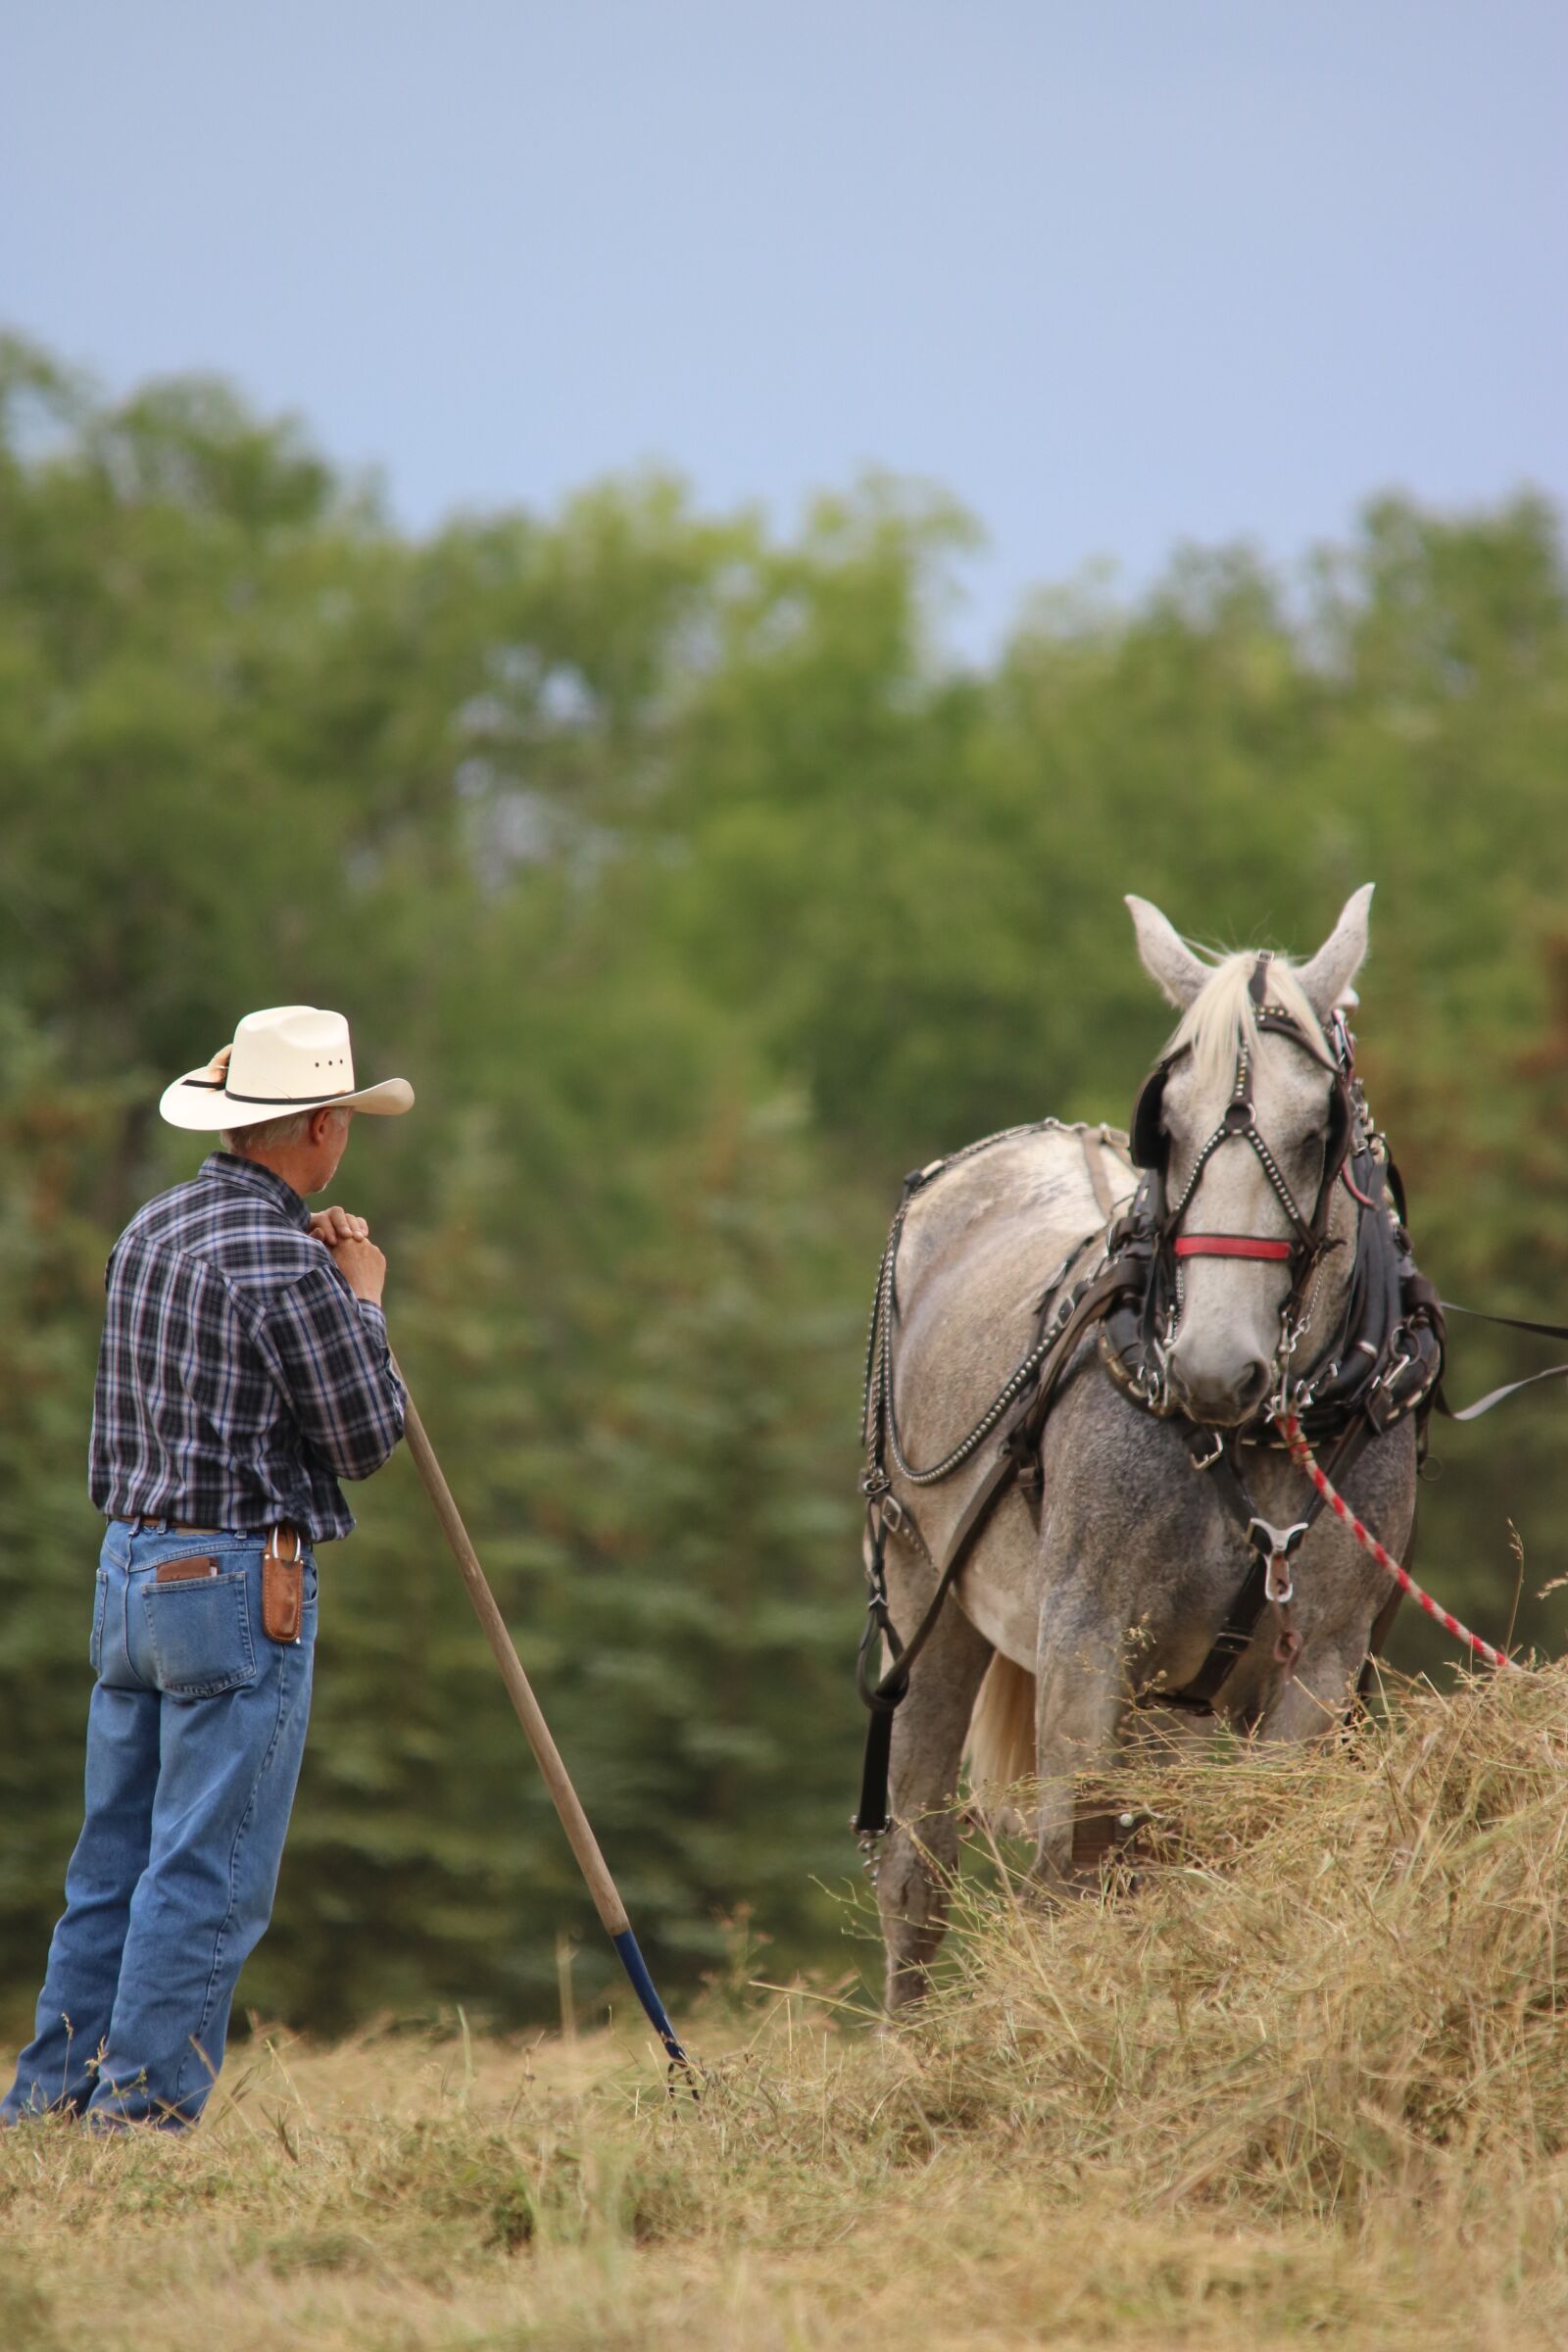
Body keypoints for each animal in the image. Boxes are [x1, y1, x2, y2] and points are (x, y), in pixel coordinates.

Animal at [864, 885, 1430, 2009]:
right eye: (1162, 1126)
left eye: (1318, 1131)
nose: (1214, 1368)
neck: (1251, 1438)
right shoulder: (1086, 1636)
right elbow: (1068, 1863)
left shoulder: (1320, 1664)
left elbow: (1244, 1846)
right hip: (923, 1591)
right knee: (918, 1866)